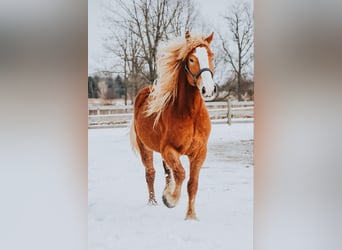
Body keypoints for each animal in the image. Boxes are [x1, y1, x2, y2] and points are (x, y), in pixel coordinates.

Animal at [131, 31, 216, 221]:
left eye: (211, 56)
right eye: (191, 59)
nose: (208, 90)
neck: (190, 114)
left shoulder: (199, 153)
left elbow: (192, 184)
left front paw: (191, 216)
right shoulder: (169, 149)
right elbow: (181, 174)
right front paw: (170, 199)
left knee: (167, 172)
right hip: (146, 147)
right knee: (151, 173)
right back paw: (154, 202)